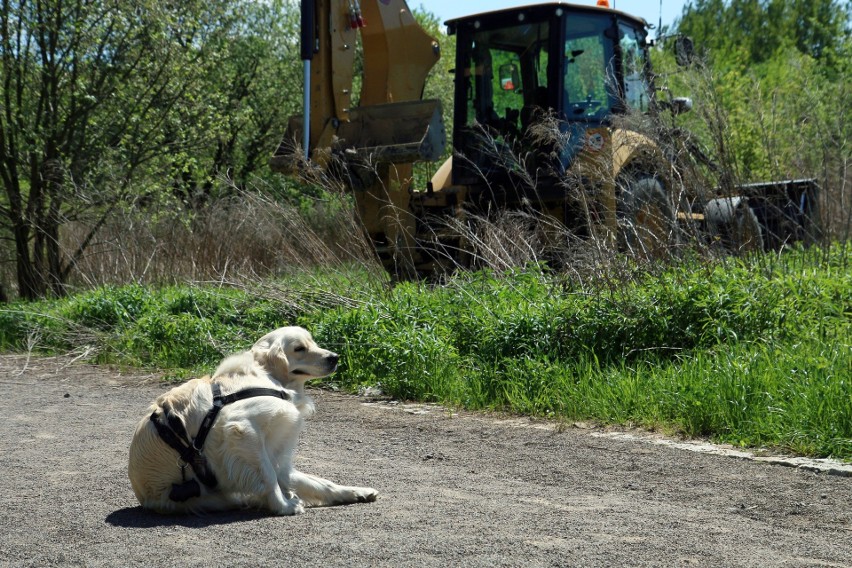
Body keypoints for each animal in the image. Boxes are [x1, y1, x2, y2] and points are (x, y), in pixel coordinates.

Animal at [127, 324, 380, 516]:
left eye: (314, 343)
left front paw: (355, 491)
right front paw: (283, 505)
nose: (334, 358)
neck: (269, 378)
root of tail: (144, 496)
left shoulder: (279, 456)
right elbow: (269, 477)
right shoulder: (242, 428)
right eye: (299, 348)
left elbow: (318, 482)